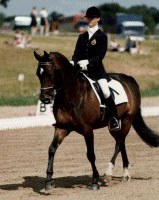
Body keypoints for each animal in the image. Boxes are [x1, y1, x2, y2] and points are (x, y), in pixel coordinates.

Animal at [33, 50, 159, 191]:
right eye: (38, 74)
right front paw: (49, 181)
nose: (45, 99)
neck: (71, 94)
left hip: (127, 120)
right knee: (121, 143)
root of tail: (129, 79)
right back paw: (125, 174)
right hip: (114, 125)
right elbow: (51, 149)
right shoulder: (62, 128)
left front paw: (94, 181)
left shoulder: (87, 130)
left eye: (50, 74)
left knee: (119, 142)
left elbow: (91, 154)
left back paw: (109, 172)